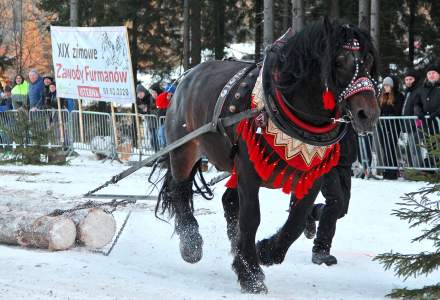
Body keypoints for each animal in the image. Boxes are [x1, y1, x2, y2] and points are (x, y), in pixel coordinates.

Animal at [156, 18, 380, 292]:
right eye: (338, 61)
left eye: (368, 60)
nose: (367, 114)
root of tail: (184, 78)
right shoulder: (248, 171)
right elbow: (251, 218)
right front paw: (251, 275)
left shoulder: (312, 176)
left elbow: (296, 221)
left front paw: (264, 252)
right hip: (184, 150)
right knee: (179, 189)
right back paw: (191, 244)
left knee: (228, 202)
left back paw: (237, 250)